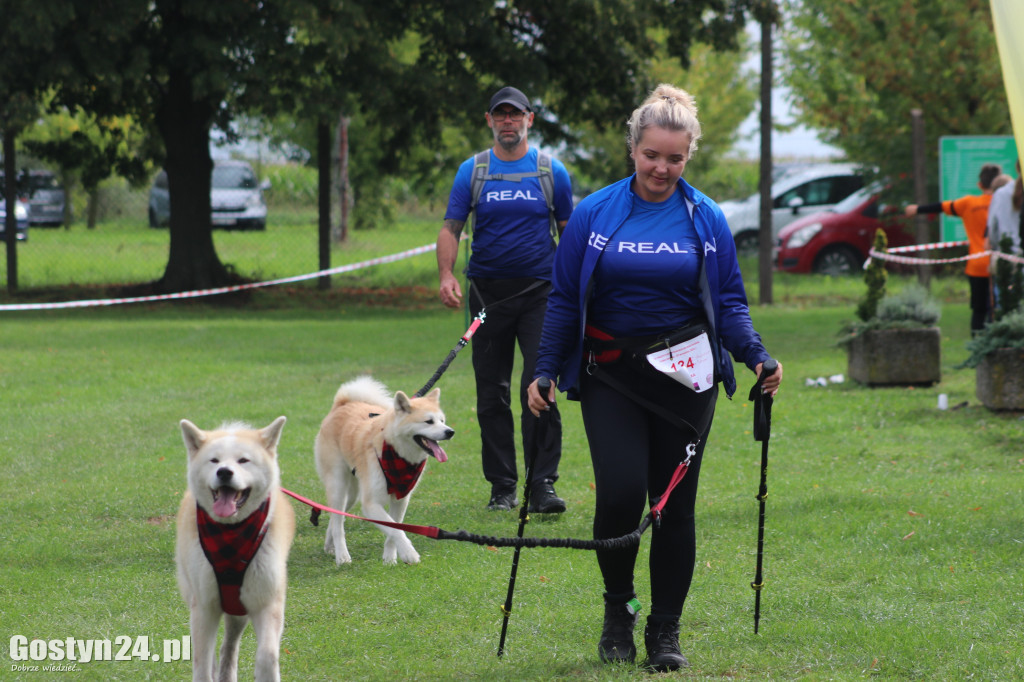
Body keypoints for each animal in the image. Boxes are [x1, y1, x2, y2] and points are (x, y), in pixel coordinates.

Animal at [176, 413, 294, 679]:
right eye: (214, 460)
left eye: (243, 460)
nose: (224, 472)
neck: (231, 533)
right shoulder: (204, 606)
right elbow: (201, 664)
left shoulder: (266, 602)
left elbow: (267, 656)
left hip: (238, 609)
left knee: (228, 648)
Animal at [315, 376, 452, 561]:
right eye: (429, 421)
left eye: (442, 421)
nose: (450, 432)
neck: (397, 454)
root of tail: (342, 404)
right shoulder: (371, 504)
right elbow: (395, 530)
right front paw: (409, 554)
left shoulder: (401, 499)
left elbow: (395, 529)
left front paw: (390, 559)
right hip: (338, 485)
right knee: (337, 524)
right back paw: (342, 556)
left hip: (352, 495)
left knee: (336, 516)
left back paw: (331, 546)